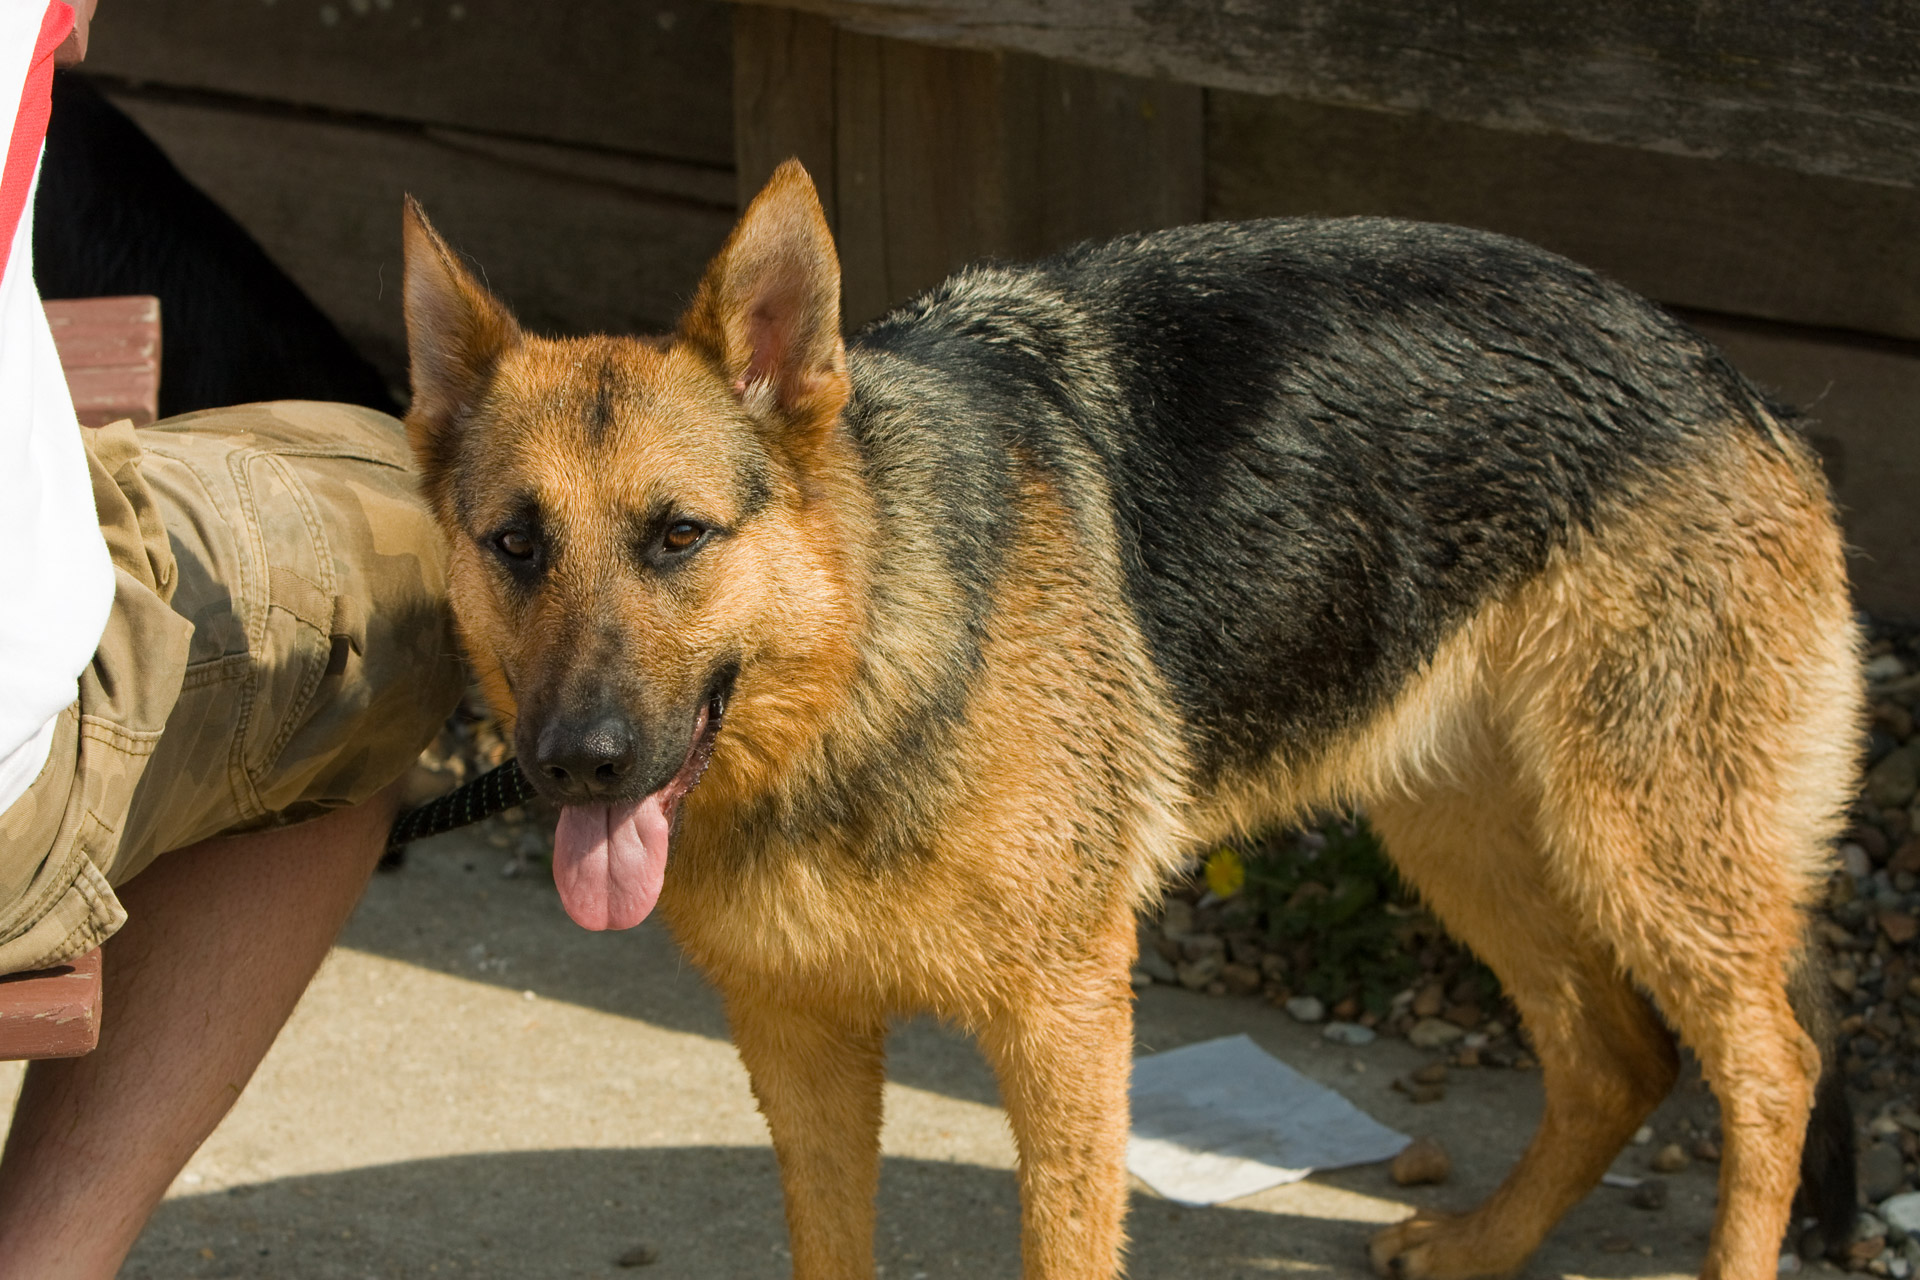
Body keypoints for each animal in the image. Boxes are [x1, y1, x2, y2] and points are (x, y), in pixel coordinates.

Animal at [401, 163, 1858, 1280]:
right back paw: (1486, 1243)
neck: (860, 678)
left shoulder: (1067, 1025)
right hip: (1468, 834)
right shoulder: (802, 1043)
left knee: (1772, 1068)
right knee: (1616, 1060)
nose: (577, 765)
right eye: (517, 544)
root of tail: (1735, 383)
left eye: (679, 536)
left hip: (1645, 856)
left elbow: (1066, 1245)